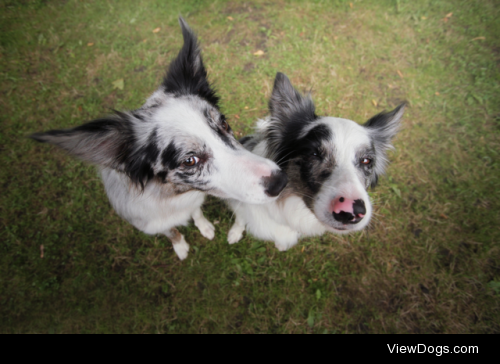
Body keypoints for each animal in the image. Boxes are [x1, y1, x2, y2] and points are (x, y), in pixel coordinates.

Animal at [31, 18, 288, 260]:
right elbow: (171, 232)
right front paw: (181, 246)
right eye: (189, 161)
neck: (169, 195)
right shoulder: (150, 223)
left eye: (224, 124)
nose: (280, 181)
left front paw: (204, 226)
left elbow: (196, 212)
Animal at [229, 72, 404, 252]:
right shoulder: (240, 205)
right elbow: (240, 220)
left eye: (366, 160)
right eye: (314, 154)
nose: (351, 212)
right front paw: (234, 234)